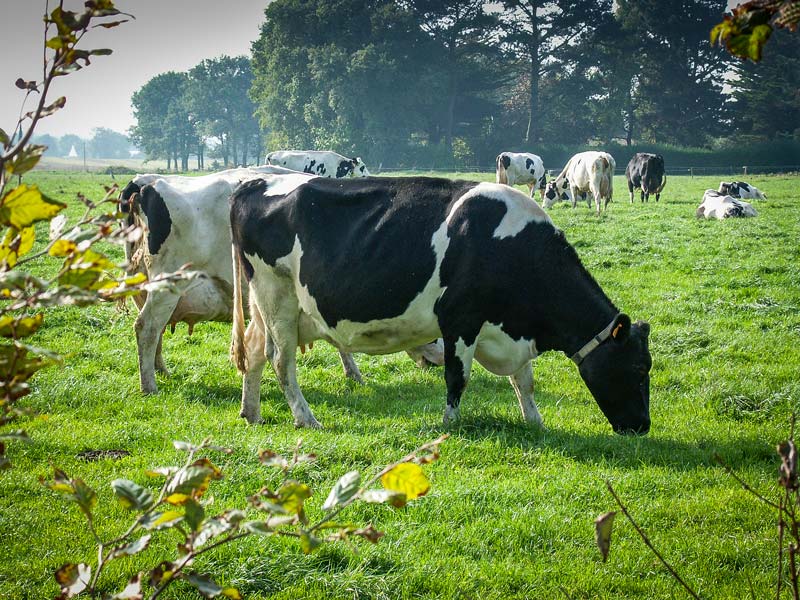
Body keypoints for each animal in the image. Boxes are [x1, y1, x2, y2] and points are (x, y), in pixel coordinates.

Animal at [120, 166, 444, 396]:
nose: (438, 359)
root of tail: (147, 185)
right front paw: (354, 374)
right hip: (168, 285)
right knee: (146, 327)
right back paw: (149, 385)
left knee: (155, 330)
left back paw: (160, 371)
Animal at [228, 176, 652, 434]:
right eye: (636, 368)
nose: (642, 427)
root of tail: (253, 183)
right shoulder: (461, 320)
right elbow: (457, 377)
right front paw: (450, 423)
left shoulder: (508, 325)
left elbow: (524, 380)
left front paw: (535, 422)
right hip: (275, 293)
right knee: (282, 361)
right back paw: (306, 418)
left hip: (269, 306)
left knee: (255, 351)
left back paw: (251, 413)